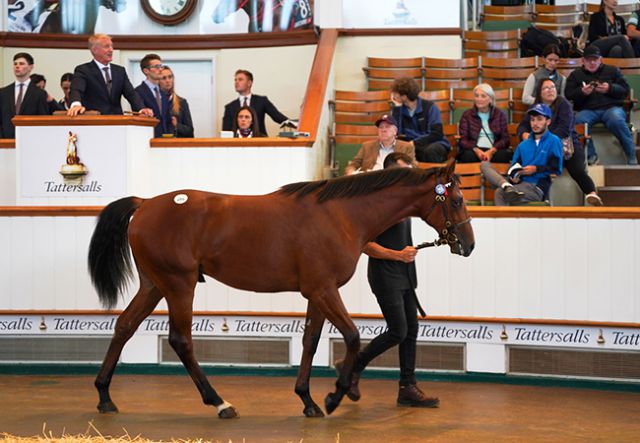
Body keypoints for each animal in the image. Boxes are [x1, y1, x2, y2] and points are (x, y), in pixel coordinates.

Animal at [87, 160, 472, 420]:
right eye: (456, 200)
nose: (468, 245)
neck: (341, 215)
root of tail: (146, 203)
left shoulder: (317, 293)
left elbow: (311, 342)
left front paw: (308, 399)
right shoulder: (324, 290)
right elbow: (351, 337)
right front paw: (335, 396)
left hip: (154, 284)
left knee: (124, 326)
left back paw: (105, 395)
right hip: (179, 285)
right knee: (181, 341)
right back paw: (219, 402)